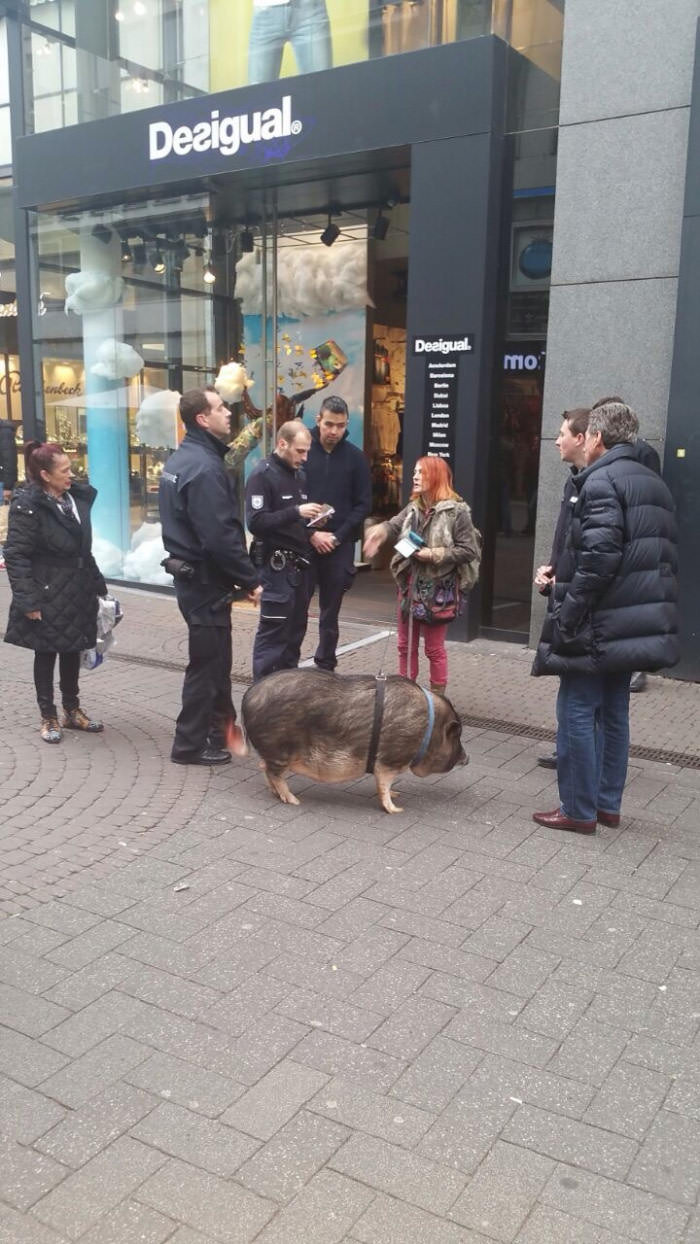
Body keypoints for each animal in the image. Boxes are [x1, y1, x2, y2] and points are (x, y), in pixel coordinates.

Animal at [242, 671, 469, 816]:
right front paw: (396, 809)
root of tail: (248, 696)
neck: (428, 728)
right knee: (273, 773)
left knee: (264, 768)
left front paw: (397, 794)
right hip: (279, 751)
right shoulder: (389, 760)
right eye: (456, 736)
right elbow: (384, 784)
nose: (467, 758)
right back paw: (294, 800)